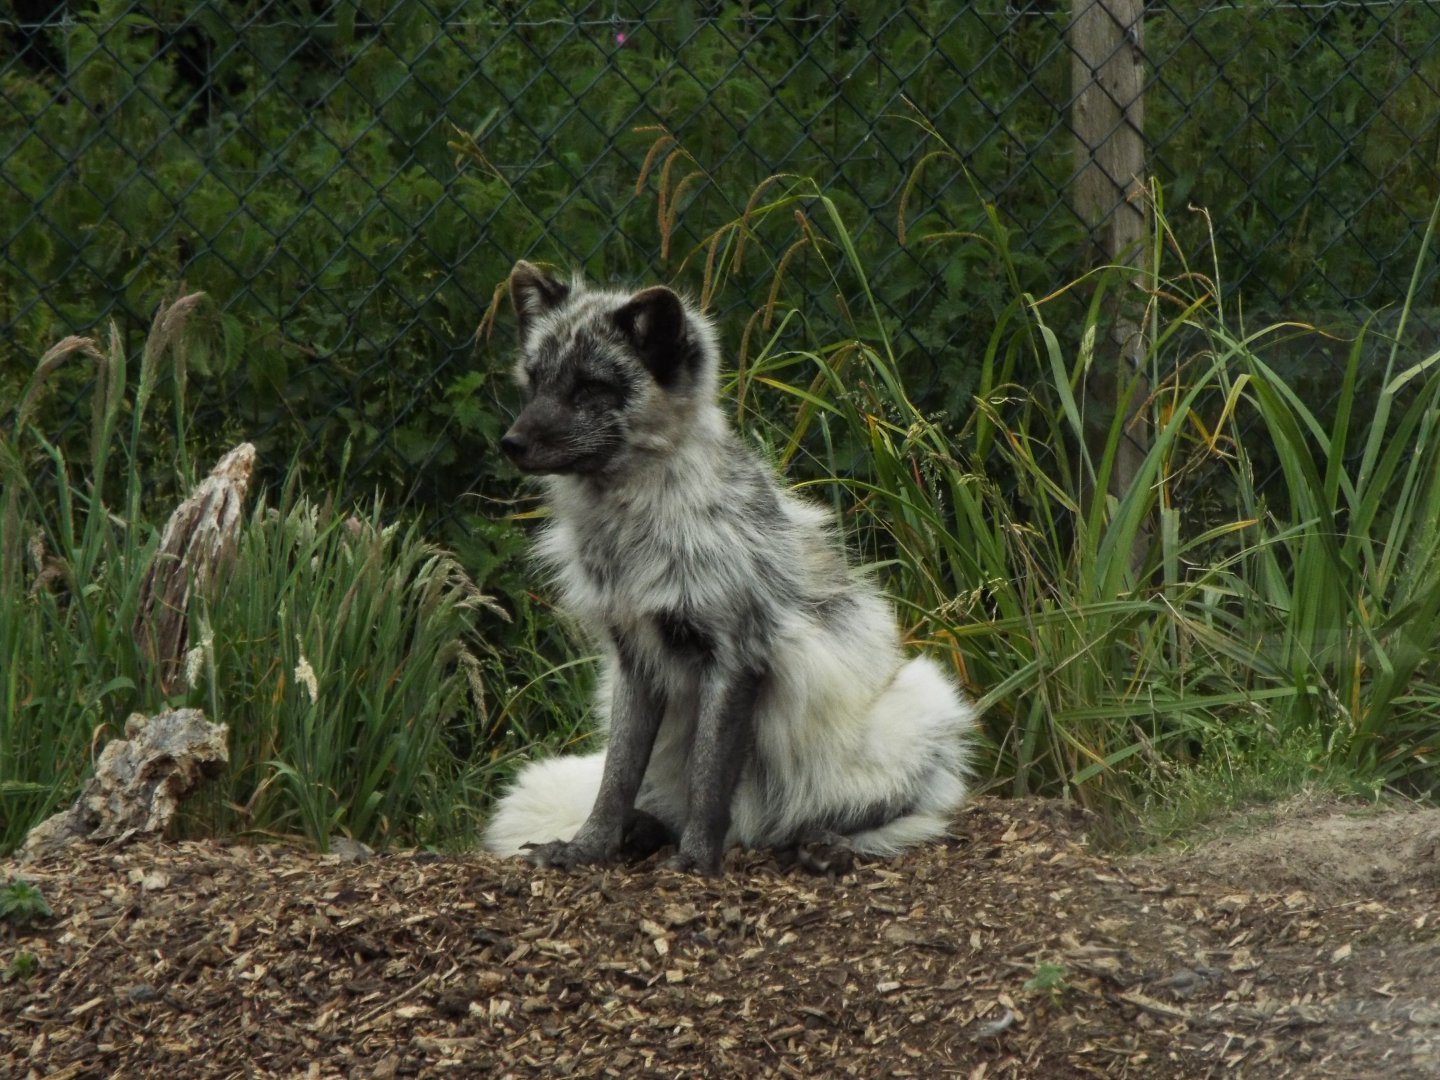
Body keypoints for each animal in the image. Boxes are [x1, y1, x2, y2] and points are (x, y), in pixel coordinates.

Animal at [481, 260, 976, 875]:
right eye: (536, 382)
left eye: (590, 387)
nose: (510, 443)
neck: (634, 533)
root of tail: (754, 834)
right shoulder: (635, 659)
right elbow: (615, 779)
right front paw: (587, 848)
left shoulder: (735, 653)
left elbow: (709, 778)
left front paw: (694, 861)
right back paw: (643, 832)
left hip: (922, 699)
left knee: (877, 815)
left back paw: (819, 843)